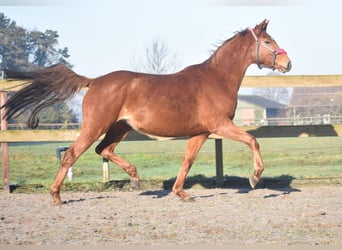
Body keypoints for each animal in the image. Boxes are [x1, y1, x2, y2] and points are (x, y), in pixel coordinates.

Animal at [2, 19, 292, 203]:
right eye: (268, 41)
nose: (288, 63)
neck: (217, 79)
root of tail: (93, 81)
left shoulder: (200, 133)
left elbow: (187, 161)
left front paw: (181, 192)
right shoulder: (219, 125)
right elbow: (253, 140)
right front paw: (255, 177)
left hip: (120, 127)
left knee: (103, 149)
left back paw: (134, 176)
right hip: (96, 126)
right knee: (73, 154)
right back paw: (56, 196)